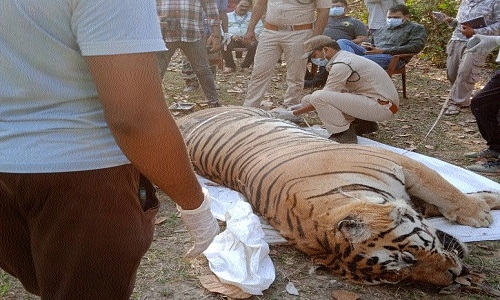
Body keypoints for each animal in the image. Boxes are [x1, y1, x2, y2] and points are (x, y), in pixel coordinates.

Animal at [176, 106, 500, 286]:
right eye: (400, 274)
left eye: (408, 257)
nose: (454, 276)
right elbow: (439, 197)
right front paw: (483, 205)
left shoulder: (404, 164)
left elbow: (444, 189)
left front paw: (479, 208)